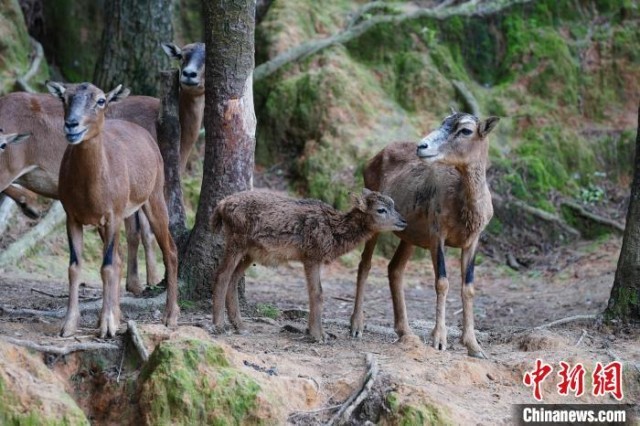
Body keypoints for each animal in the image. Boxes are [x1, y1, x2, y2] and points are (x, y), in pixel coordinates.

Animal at [212, 188, 408, 342]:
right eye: (381, 209)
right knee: (222, 275)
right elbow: (317, 293)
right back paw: (220, 325)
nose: (404, 221)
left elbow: (315, 293)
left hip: (250, 252)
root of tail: (220, 205)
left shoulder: (312, 258)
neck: (333, 232)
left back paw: (240, 325)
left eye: (393, 204)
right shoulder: (312, 256)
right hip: (237, 240)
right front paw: (318, 335)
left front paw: (318, 332)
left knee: (234, 279)